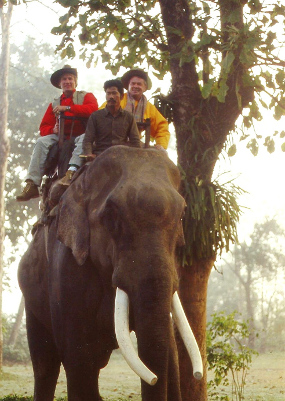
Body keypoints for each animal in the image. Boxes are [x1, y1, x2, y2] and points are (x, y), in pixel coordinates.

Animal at [18, 145, 202, 400]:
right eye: (112, 216)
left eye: (182, 214)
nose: (154, 378)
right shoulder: (66, 268)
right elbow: (77, 358)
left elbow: (170, 353)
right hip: (32, 299)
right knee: (46, 365)